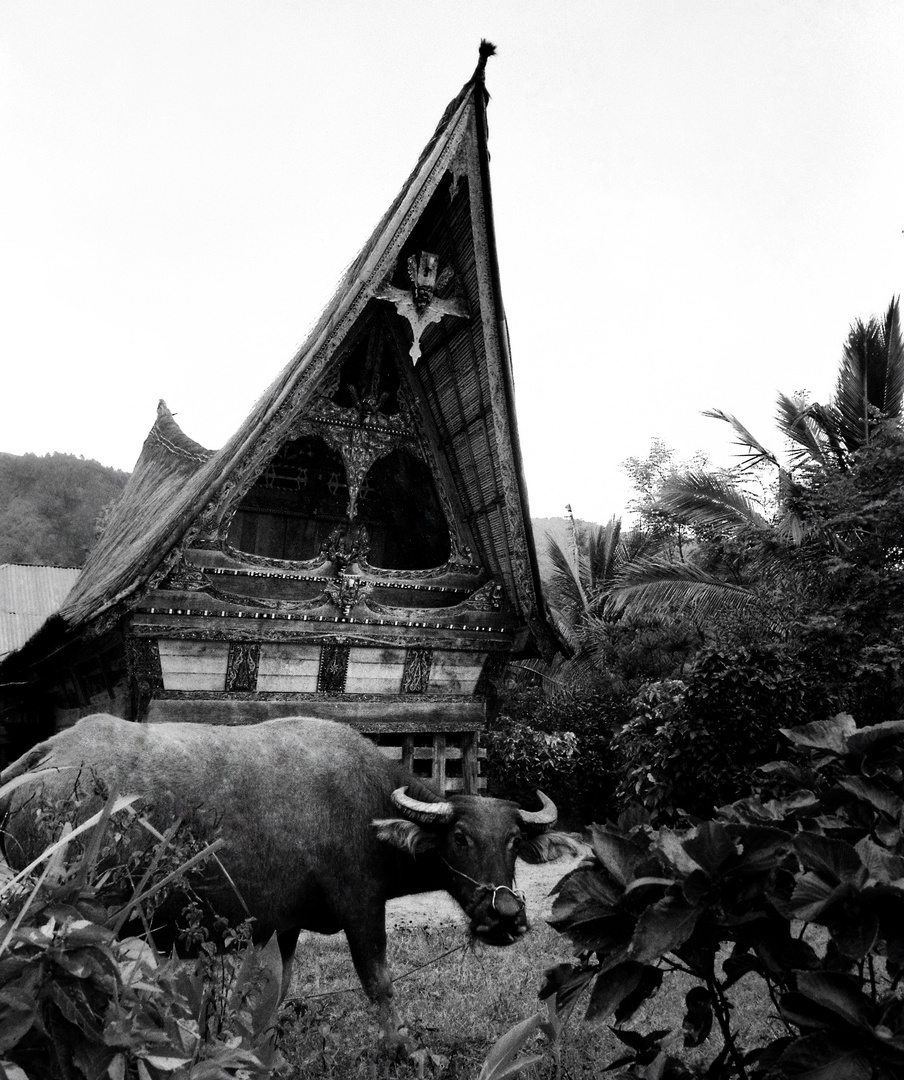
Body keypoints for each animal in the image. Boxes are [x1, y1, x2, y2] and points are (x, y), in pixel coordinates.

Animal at [0, 712, 574, 1041]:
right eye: (460, 838)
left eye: (513, 842)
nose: (507, 916)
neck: (369, 807)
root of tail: (49, 755)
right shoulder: (362, 908)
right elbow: (379, 985)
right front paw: (400, 1048)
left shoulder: (285, 926)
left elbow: (274, 993)